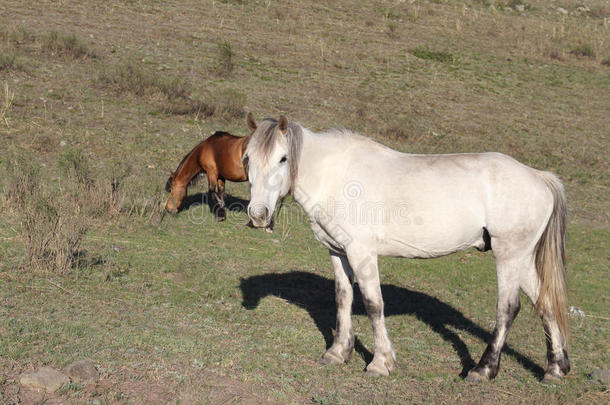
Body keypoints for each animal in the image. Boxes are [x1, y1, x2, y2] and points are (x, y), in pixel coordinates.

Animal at [240, 113, 568, 382]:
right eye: (247, 158)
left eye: (283, 158)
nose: (258, 214)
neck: (336, 175)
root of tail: (538, 177)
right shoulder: (338, 252)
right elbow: (343, 299)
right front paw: (338, 352)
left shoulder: (362, 253)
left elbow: (373, 304)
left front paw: (380, 362)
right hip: (521, 259)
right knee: (545, 303)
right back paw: (555, 368)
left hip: (508, 256)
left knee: (508, 309)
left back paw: (483, 369)